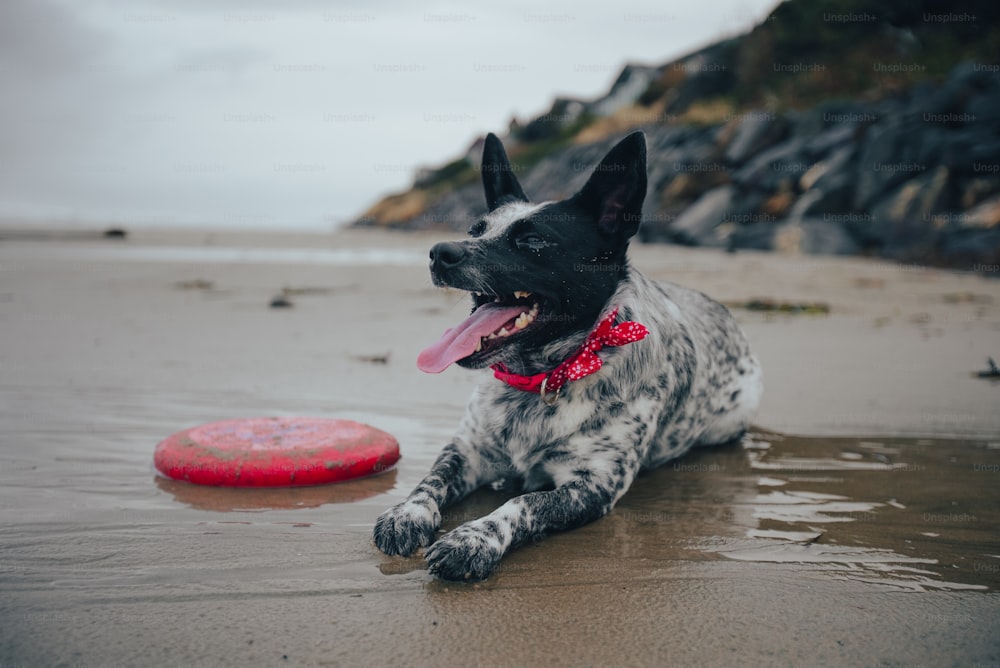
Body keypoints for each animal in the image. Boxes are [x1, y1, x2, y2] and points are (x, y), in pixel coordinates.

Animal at [372, 130, 760, 580]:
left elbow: (524, 502)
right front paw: (407, 513)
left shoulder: (592, 484)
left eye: (533, 240)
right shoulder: (468, 450)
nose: (439, 252)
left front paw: (474, 538)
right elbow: (430, 479)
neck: (544, 376)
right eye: (475, 230)